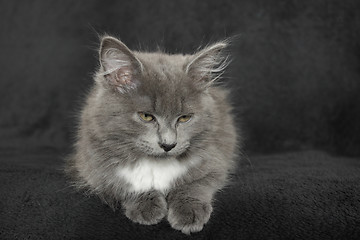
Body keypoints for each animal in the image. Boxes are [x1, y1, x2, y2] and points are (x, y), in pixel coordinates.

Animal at [65, 36, 239, 234]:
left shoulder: (214, 159)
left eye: (184, 118)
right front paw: (146, 207)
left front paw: (189, 213)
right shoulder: (97, 167)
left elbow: (195, 185)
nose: (168, 144)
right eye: (146, 116)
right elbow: (128, 183)